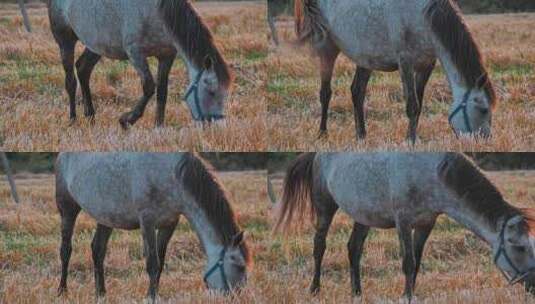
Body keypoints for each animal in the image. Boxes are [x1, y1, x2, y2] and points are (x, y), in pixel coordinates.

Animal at [49, 0, 233, 128]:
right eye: (211, 92)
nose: (217, 127)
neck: (157, 14)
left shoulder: (166, 56)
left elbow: (162, 92)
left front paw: (159, 126)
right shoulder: (135, 53)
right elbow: (149, 87)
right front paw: (126, 120)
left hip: (97, 46)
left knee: (83, 69)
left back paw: (91, 118)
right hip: (65, 41)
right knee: (70, 81)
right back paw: (73, 120)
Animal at [54, 153, 251, 300]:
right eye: (240, 266)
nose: (237, 298)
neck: (172, 176)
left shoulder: (169, 223)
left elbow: (161, 263)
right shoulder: (147, 221)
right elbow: (152, 264)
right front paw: (151, 297)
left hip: (106, 216)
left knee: (98, 250)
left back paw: (101, 294)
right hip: (68, 209)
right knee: (66, 250)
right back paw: (62, 291)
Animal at [276, 152, 535, 300]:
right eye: (519, 247)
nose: (533, 284)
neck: (434, 174)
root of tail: (318, 154)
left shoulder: (425, 224)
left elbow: (417, 263)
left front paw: (412, 293)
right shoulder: (403, 221)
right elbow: (408, 263)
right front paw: (406, 296)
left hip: (364, 215)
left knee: (354, 249)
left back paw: (357, 293)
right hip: (325, 206)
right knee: (319, 246)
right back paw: (314, 290)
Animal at [296, 0, 496, 142]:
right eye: (483, 109)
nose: (486, 142)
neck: (423, 18)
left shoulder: (426, 64)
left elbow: (419, 104)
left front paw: (412, 137)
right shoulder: (405, 62)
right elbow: (412, 105)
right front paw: (410, 141)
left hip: (366, 56)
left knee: (357, 91)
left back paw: (361, 136)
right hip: (326, 47)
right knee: (326, 93)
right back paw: (323, 134)